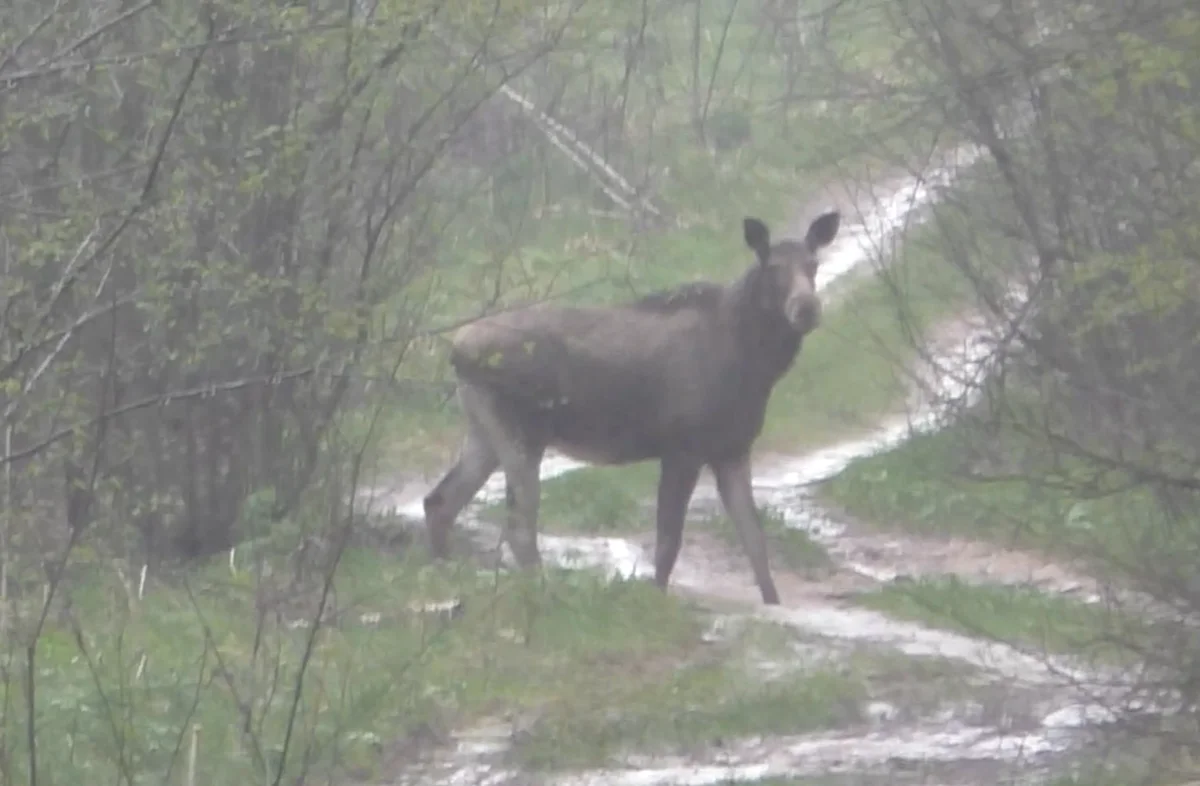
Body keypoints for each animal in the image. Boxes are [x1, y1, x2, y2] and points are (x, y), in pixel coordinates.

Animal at [427, 208, 840, 602]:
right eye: (773, 268)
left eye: (813, 265)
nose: (806, 307)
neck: (756, 368)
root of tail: (456, 349)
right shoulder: (682, 450)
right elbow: (668, 544)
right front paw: (657, 599)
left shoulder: (733, 450)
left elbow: (755, 542)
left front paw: (774, 604)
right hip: (520, 435)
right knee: (517, 524)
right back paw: (540, 590)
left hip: (483, 430)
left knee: (440, 501)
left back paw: (444, 572)